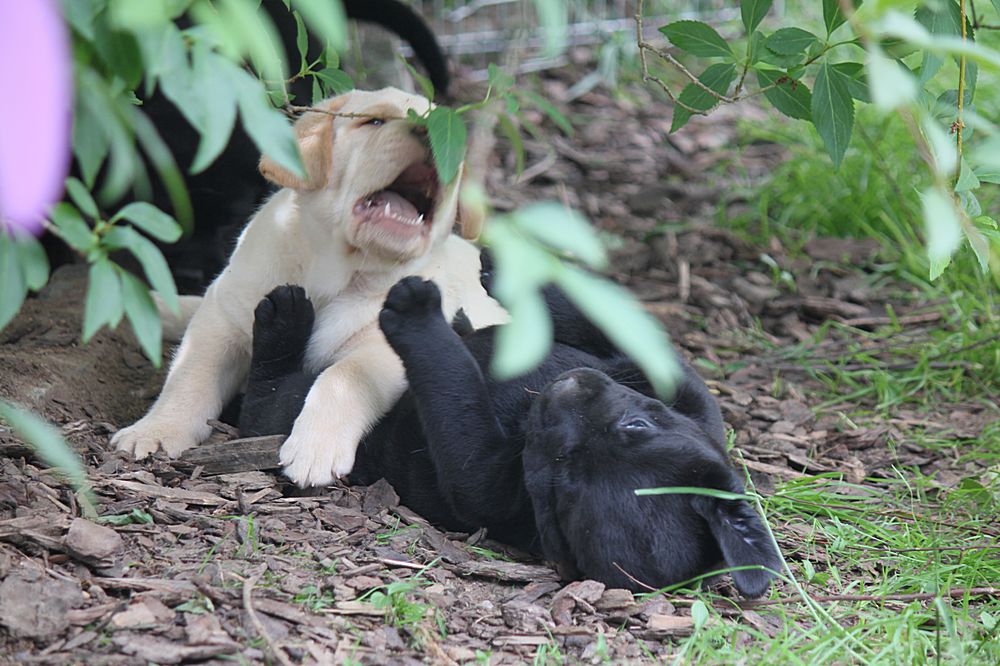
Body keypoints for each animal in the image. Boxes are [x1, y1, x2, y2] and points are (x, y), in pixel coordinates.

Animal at [113, 88, 507, 487]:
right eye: (374, 121)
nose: (428, 133)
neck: (334, 274)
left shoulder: (385, 345)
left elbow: (343, 375)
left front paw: (315, 447)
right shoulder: (224, 318)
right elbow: (190, 372)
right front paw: (157, 429)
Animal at [239, 270, 782, 597]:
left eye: (564, 475)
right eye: (637, 424)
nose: (559, 394)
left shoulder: (481, 480)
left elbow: (453, 382)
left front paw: (422, 311)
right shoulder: (689, 392)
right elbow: (587, 312)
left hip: (288, 412)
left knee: (265, 394)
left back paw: (283, 319)